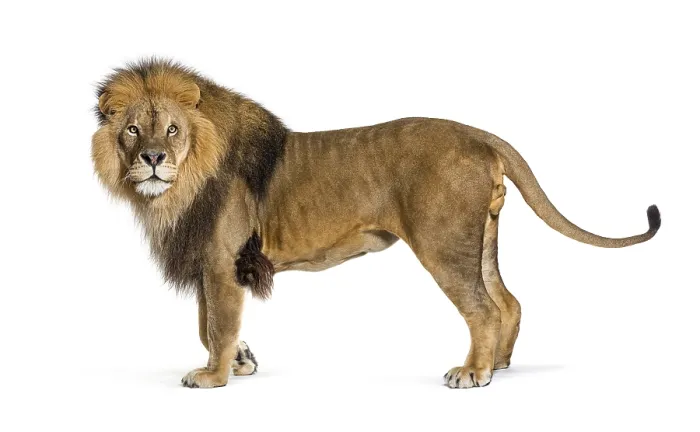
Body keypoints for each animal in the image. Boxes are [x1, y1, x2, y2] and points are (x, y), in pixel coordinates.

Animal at [91, 59, 661, 389]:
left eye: (171, 129)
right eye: (133, 130)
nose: (153, 159)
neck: (183, 181)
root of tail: (479, 135)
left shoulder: (222, 260)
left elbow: (217, 324)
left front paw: (214, 376)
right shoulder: (212, 264)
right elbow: (207, 323)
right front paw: (242, 362)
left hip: (443, 241)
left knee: (482, 308)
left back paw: (472, 373)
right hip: (480, 239)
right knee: (508, 301)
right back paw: (498, 365)